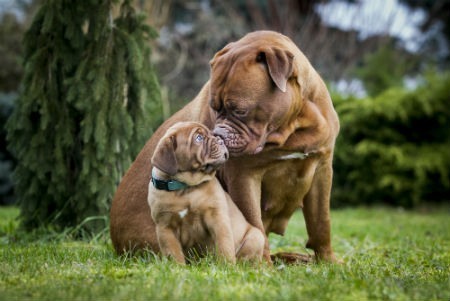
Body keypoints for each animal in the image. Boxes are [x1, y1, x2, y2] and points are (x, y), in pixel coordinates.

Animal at [148, 120, 264, 264]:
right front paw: (177, 267)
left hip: (256, 237)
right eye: (198, 138)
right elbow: (173, 254)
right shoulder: (165, 228)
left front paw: (227, 265)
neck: (185, 188)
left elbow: (224, 245)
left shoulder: (217, 217)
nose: (220, 140)